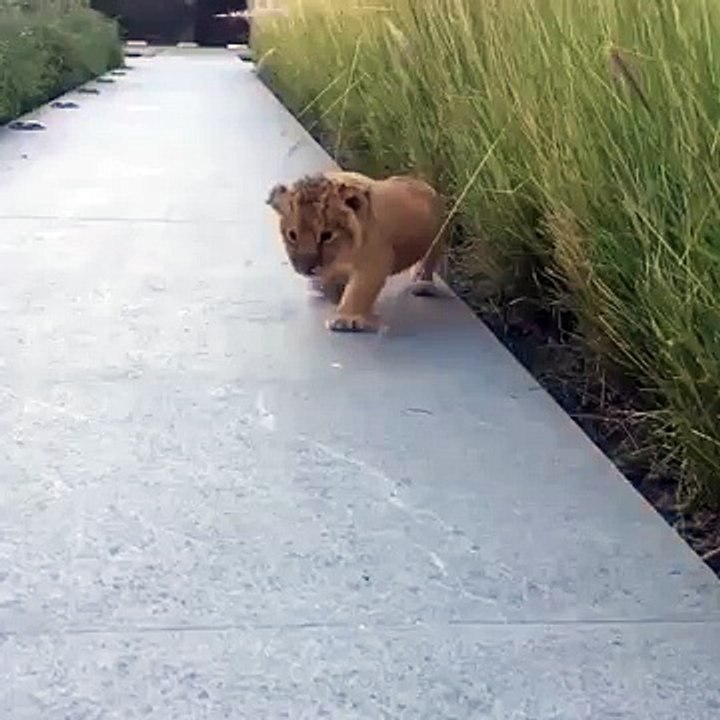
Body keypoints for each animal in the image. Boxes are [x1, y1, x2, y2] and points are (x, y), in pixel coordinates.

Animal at [266, 170, 447, 332]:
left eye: (326, 235)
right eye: (292, 235)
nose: (306, 268)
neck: (342, 253)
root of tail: (423, 183)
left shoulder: (375, 262)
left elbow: (358, 292)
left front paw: (345, 320)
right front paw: (327, 293)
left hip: (436, 242)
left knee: (427, 264)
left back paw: (422, 285)